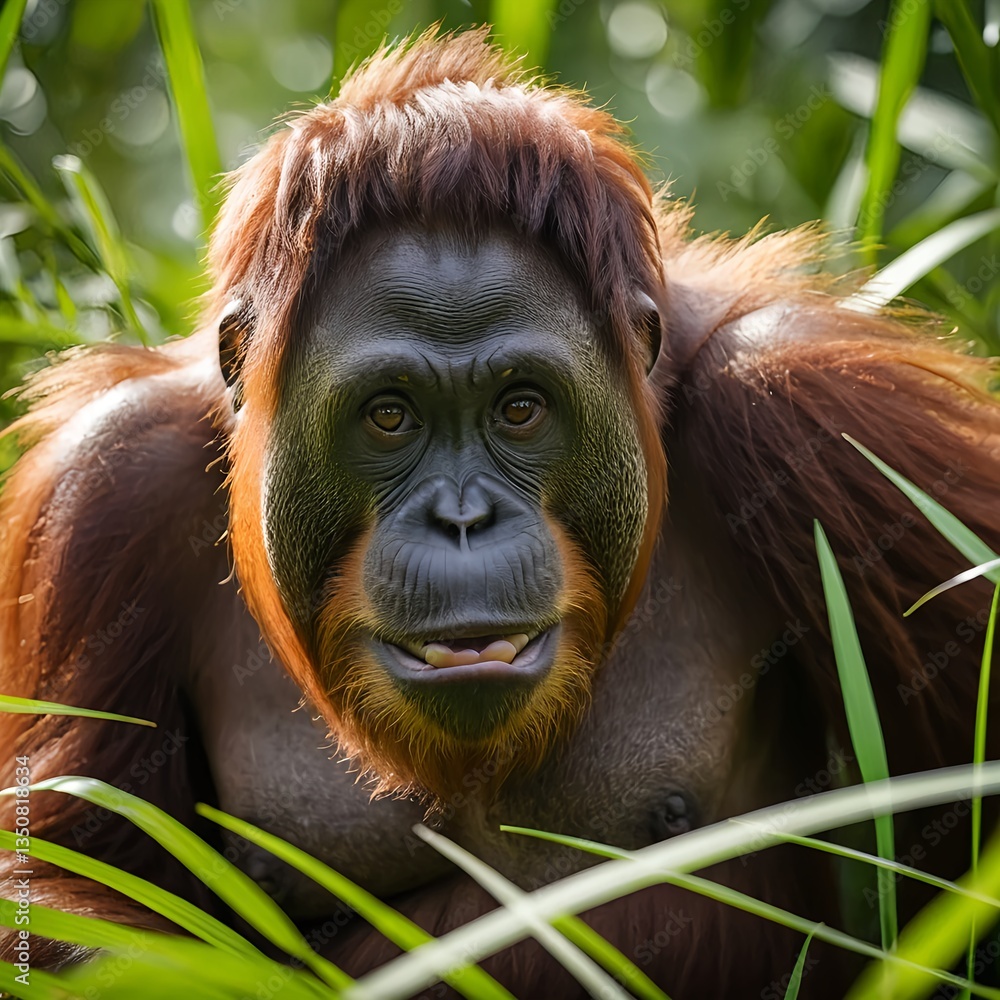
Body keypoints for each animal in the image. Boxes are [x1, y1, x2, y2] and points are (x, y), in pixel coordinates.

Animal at [1, 27, 998, 998]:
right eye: (390, 416)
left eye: (520, 408)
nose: (463, 519)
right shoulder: (110, 481)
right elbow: (66, 882)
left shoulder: (818, 406)